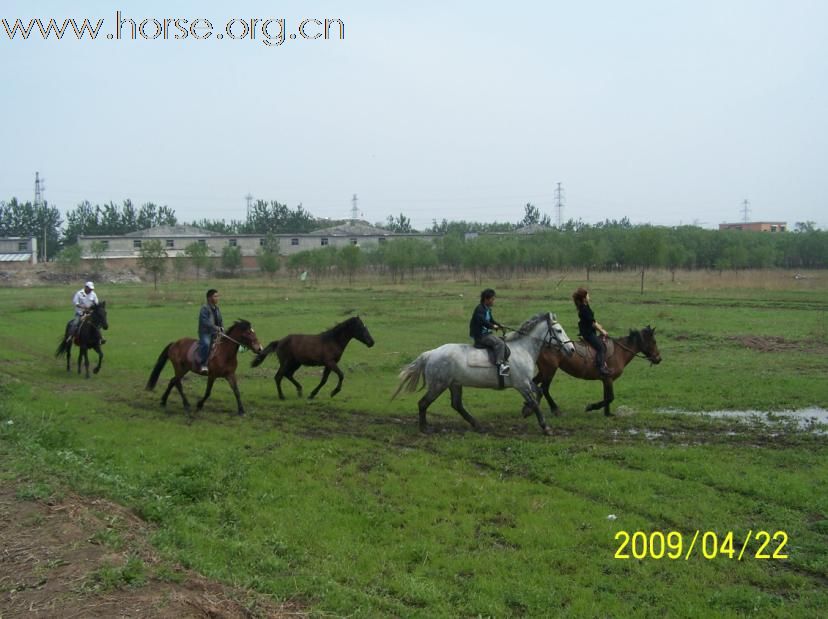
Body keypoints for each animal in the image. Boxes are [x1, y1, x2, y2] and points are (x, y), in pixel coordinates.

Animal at [390, 314, 572, 436]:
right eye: (558, 330)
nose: (571, 349)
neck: (523, 349)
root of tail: (430, 354)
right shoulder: (521, 384)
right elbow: (535, 402)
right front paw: (545, 427)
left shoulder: (526, 382)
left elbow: (539, 393)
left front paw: (526, 411)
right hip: (438, 385)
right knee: (423, 403)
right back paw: (424, 428)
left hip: (454, 384)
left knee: (457, 405)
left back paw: (477, 425)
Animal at [532, 326, 664, 418]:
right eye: (654, 342)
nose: (658, 359)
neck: (619, 351)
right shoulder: (609, 379)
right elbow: (610, 397)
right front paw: (591, 407)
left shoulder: (606, 380)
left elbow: (607, 397)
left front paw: (608, 414)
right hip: (550, 370)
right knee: (544, 389)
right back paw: (555, 410)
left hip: (543, 371)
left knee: (534, 384)